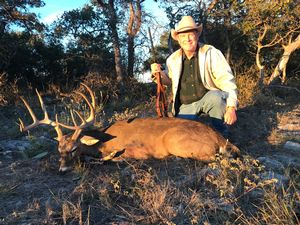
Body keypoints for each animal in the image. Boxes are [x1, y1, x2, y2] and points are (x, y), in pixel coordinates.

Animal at [18, 83, 239, 171]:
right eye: (59, 149)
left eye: (73, 149)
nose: (62, 169)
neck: (102, 140)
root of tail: (220, 138)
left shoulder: (136, 150)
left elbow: (113, 157)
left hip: (175, 141)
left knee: (215, 158)